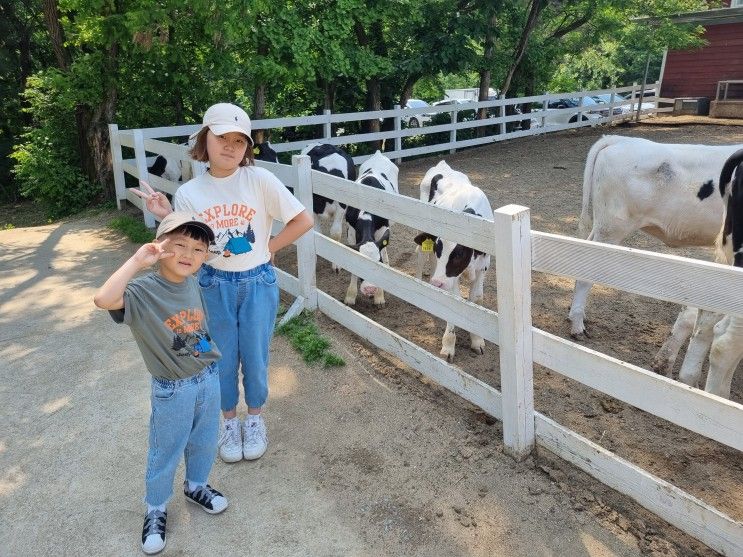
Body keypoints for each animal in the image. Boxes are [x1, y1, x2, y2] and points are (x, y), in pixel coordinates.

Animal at [344, 150, 402, 306]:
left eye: (378, 262)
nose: (370, 289)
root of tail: (378, 154)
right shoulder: (351, 233)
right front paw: (350, 295)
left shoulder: (381, 230)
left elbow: (382, 252)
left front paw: (379, 296)